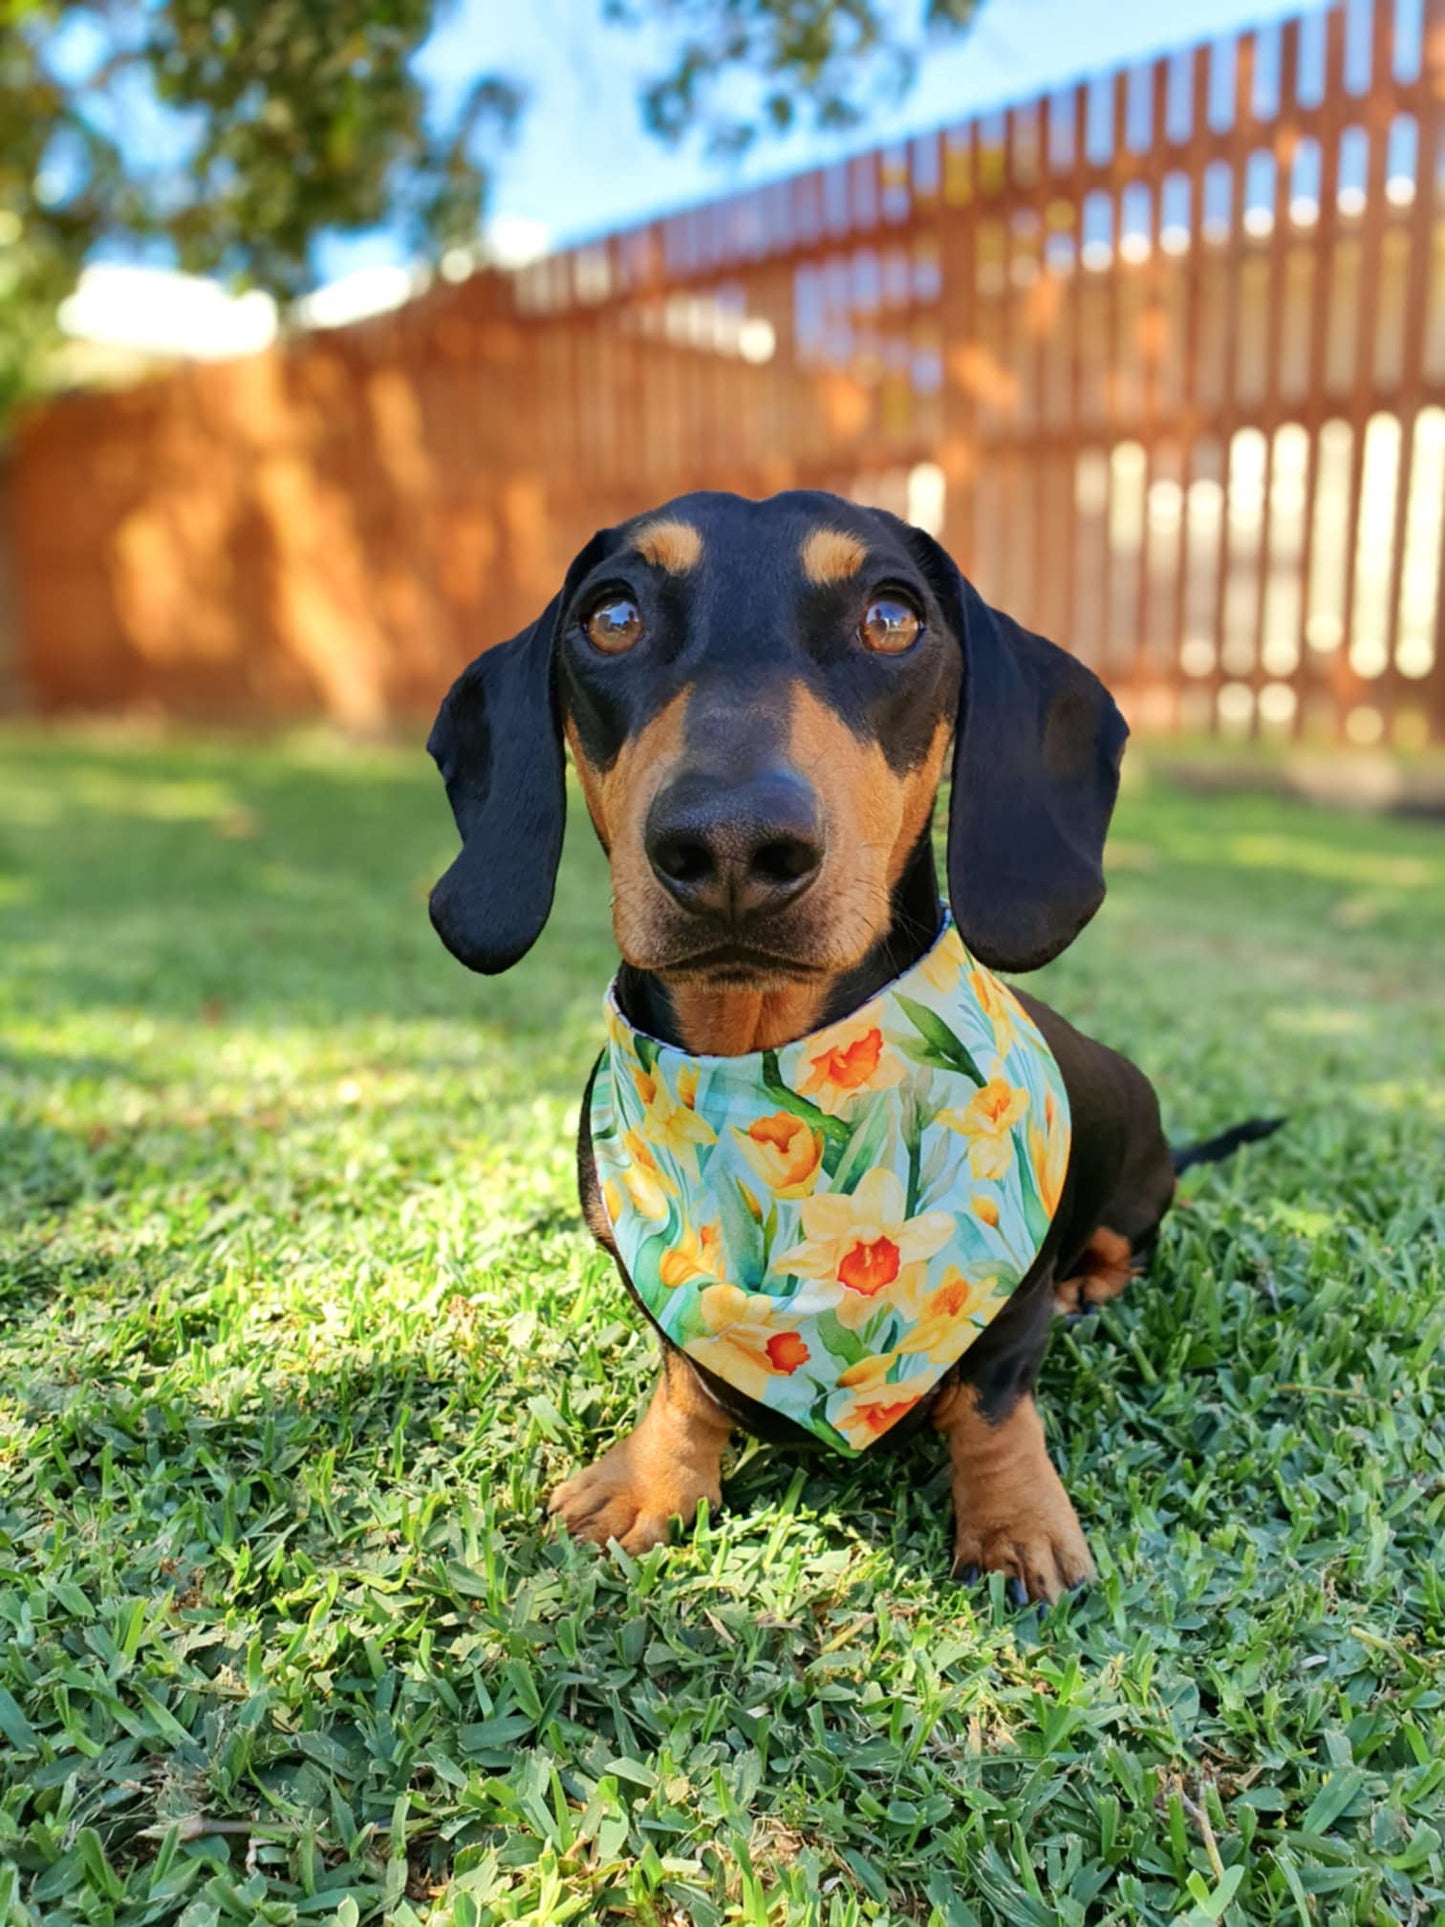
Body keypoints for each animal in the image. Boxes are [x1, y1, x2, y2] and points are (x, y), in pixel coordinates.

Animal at [427, 489, 1279, 1603]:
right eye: (610, 616)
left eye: (891, 616)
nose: (732, 844)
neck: (766, 1063)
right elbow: (685, 1380)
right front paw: (650, 1480)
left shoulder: (1006, 1304)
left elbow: (994, 1407)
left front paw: (1016, 1524)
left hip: (1134, 1182)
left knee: (1119, 1250)